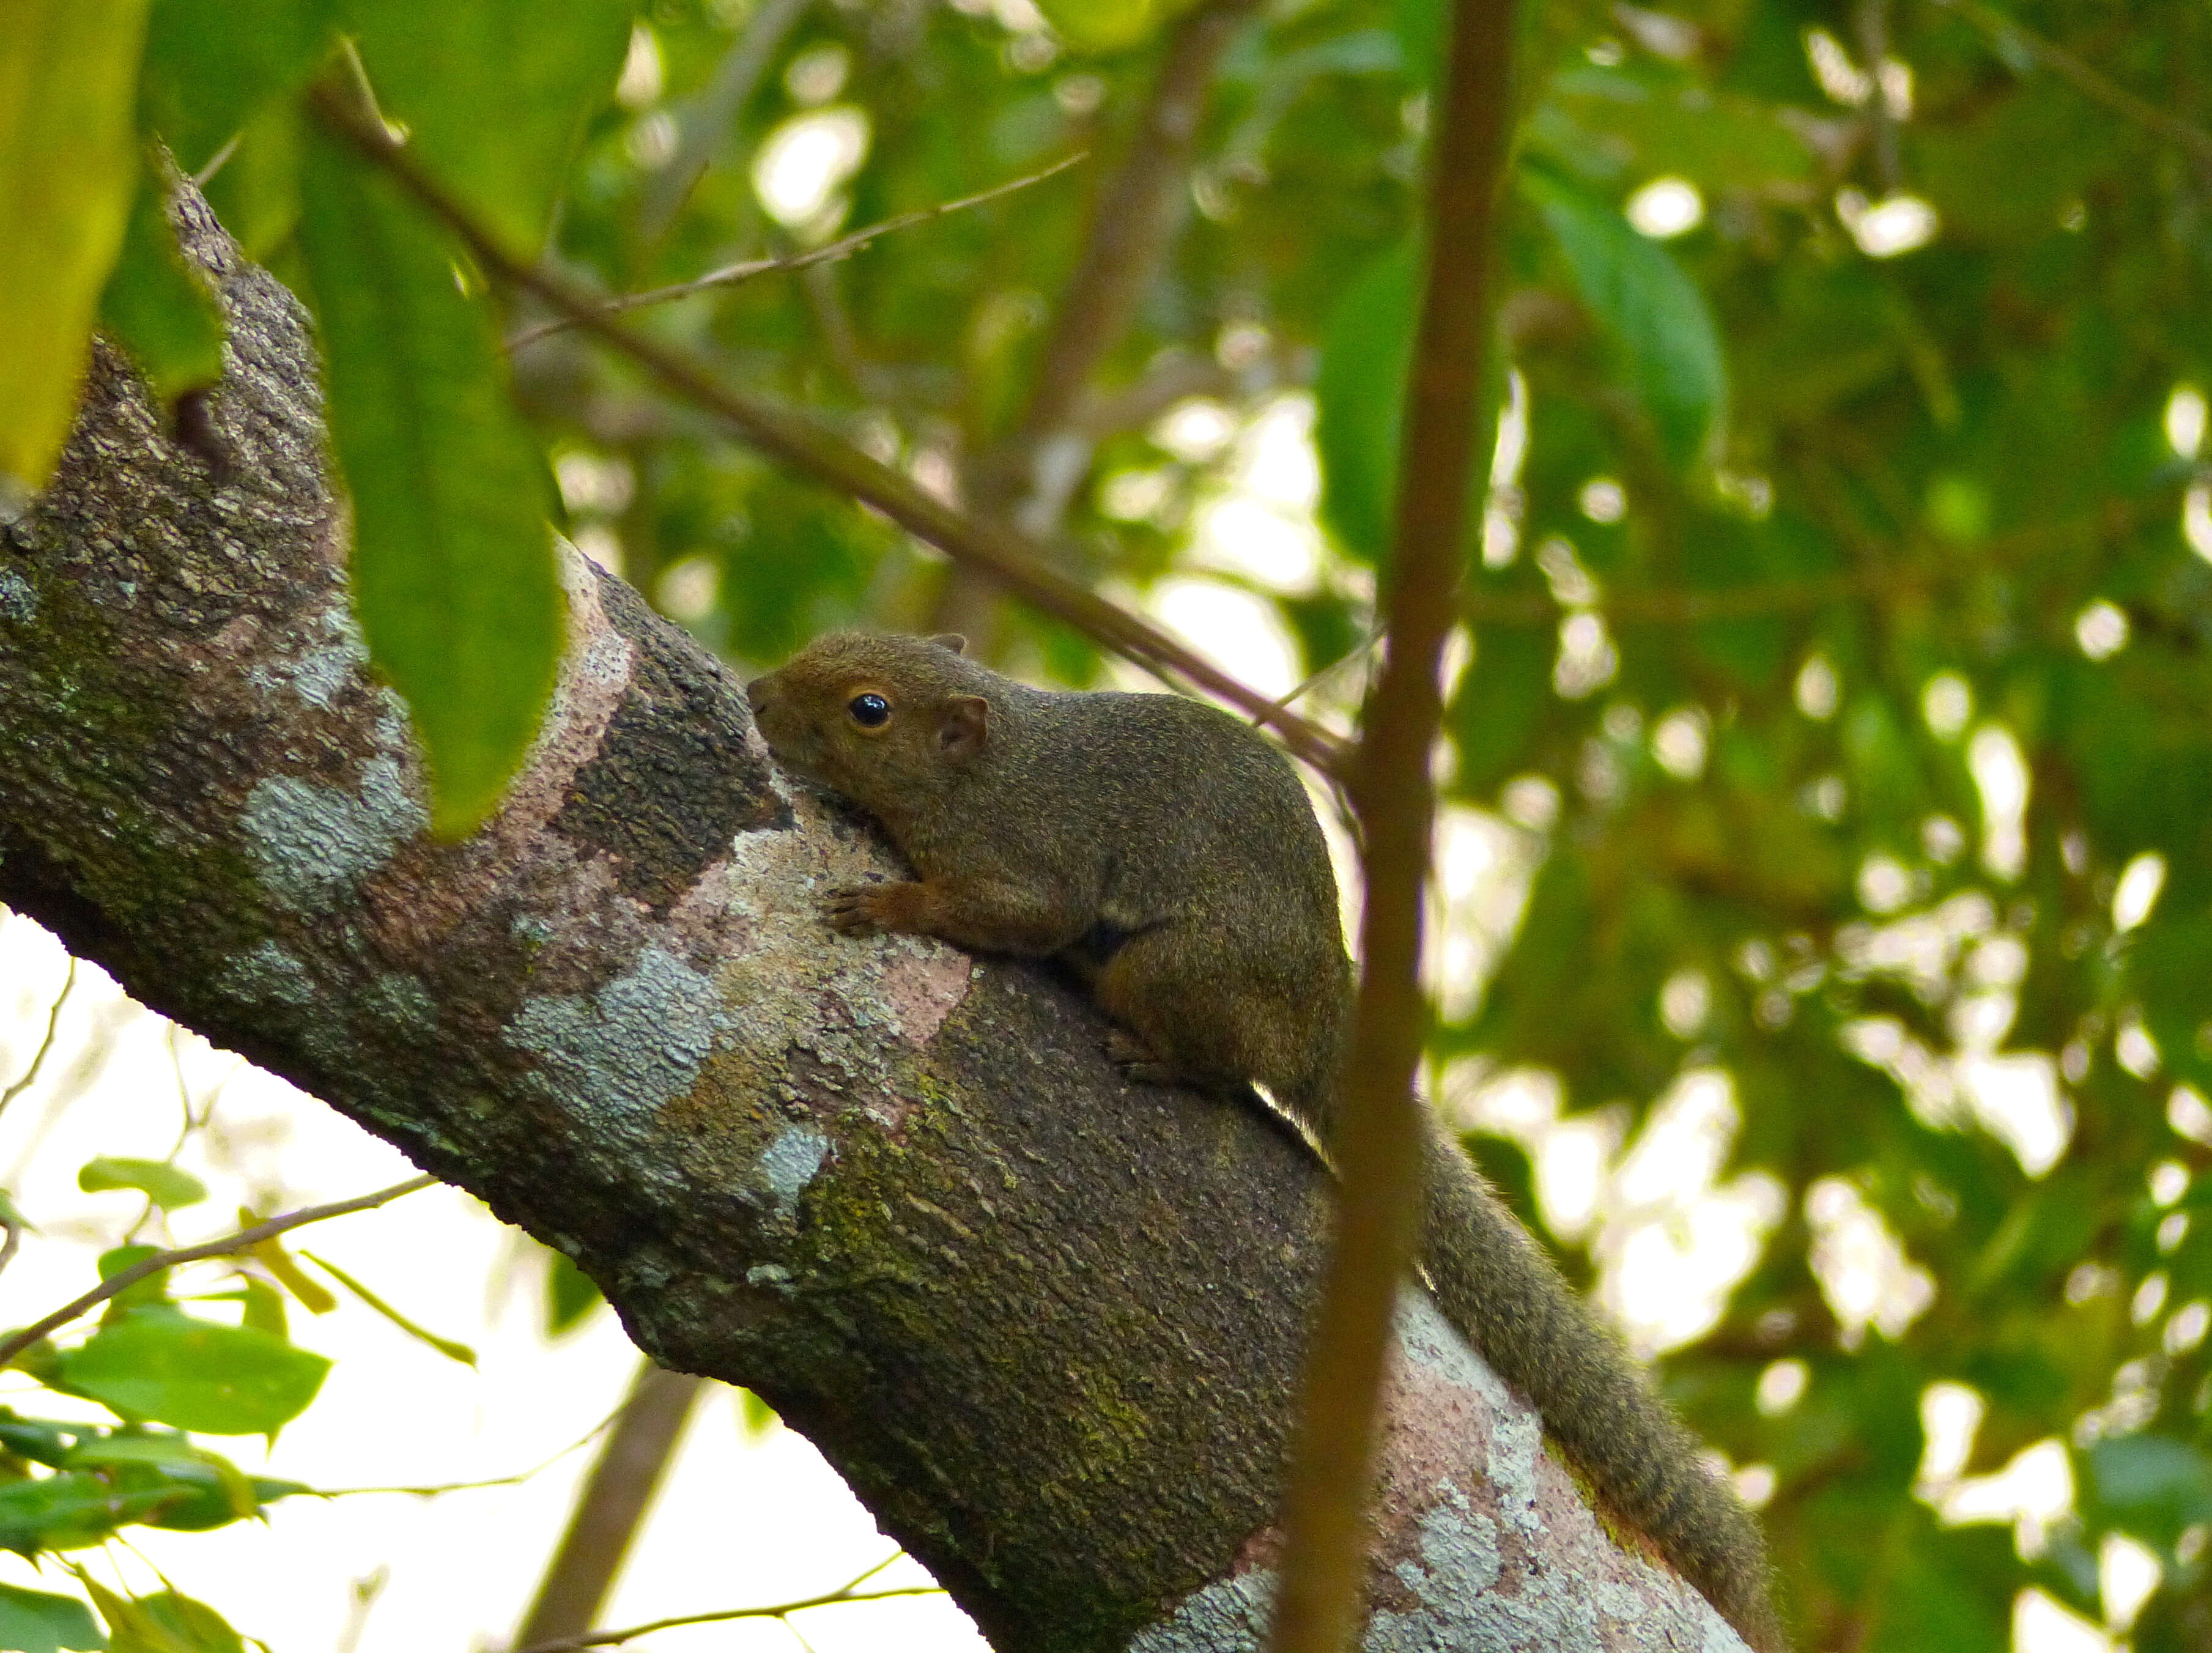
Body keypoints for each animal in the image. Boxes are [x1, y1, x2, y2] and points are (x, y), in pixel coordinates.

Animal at [743, 632, 1778, 1653]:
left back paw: (1153, 1052)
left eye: (868, 709)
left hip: (1173, 968)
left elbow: (1022, 914)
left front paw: (892, 906)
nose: (756, 694)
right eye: (830, 648)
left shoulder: (1032, 852)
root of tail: (1320, 1014)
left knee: (1212, 1057)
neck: (989, 770)